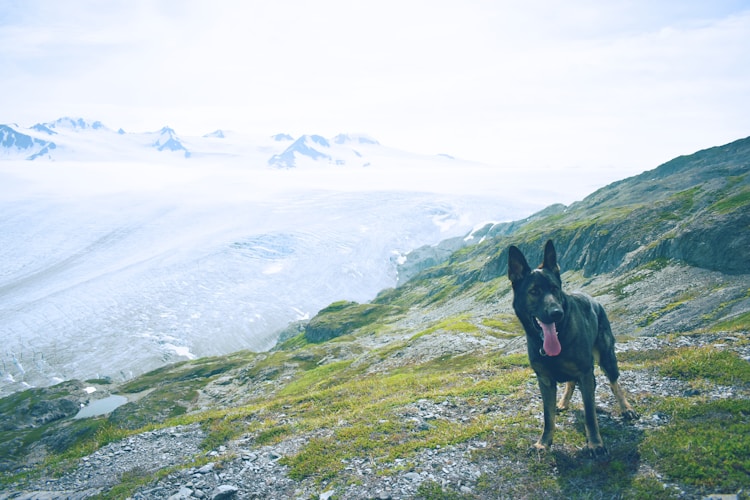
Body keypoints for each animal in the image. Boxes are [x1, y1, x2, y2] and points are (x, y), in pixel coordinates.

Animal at [508, 239, 636, 458]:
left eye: (554, 288)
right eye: (534, 291)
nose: (556, 313)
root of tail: (593, 299)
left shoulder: (585, 373)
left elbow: (590, 415)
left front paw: (595, 444)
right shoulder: (545, 381)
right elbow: (548, 417)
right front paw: (544, 443)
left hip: (606, 358)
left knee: (614, 383)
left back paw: (626, 408)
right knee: (571, 382)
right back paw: (563, 402)